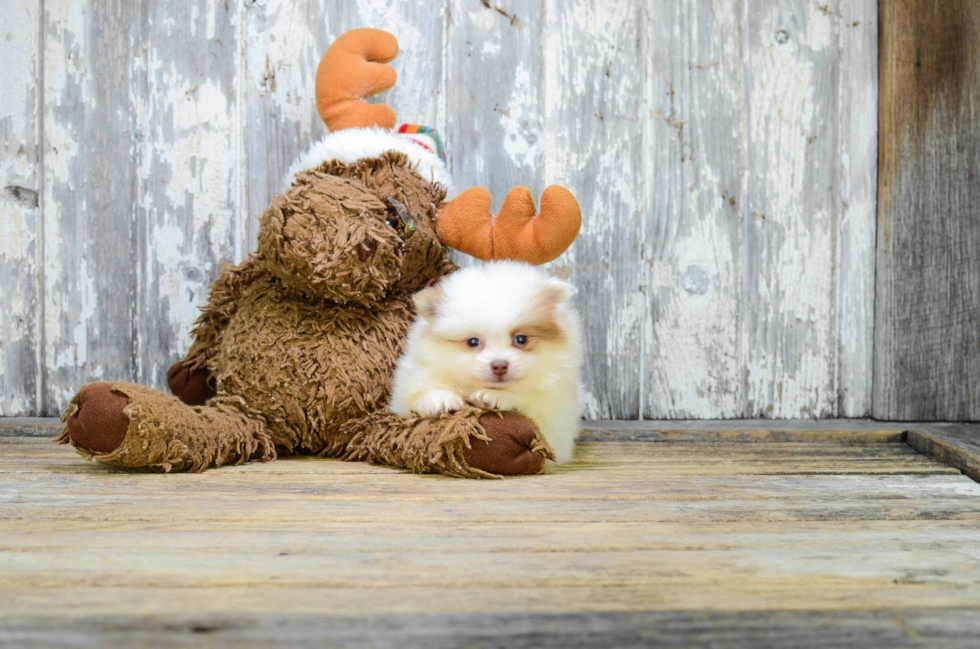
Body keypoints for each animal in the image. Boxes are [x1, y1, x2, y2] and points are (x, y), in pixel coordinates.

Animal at [388, 260, 580, 464]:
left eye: (521, 339)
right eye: (473, 342)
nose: (499, 365)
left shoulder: (556, 411)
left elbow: (526, 399)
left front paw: (494, 396)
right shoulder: (410, 383)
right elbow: (419, 395)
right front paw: (442, 399)